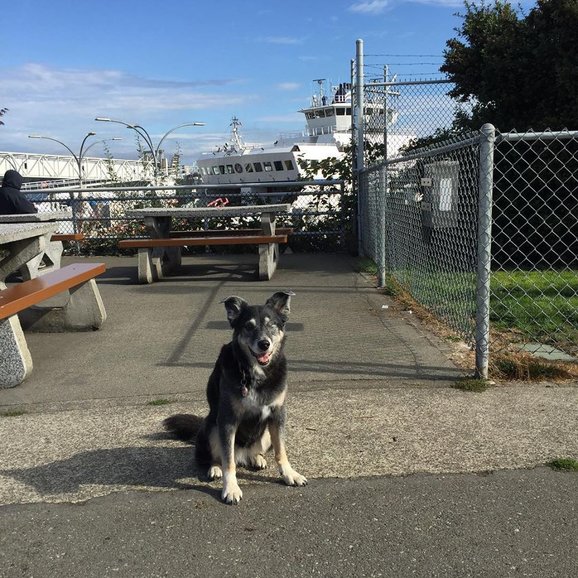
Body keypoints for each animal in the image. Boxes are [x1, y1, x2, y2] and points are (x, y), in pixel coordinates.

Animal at [163, 290, 306, 502]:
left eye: (272, 324)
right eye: (248, 326)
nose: (264, 344)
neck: (254, 374)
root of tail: (243, 453)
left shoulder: (277, 414)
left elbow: (281, 451)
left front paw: (289, 474)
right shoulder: (228, 420)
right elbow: (228, 461)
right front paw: (230, 488)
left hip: (265, 433)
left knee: (255, 450)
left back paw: (256, 458)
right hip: (212, 426)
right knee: (218, 457)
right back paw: (215, 468)